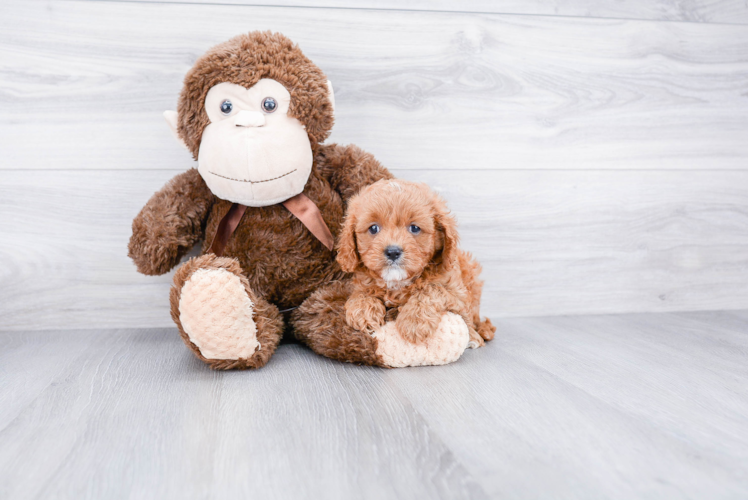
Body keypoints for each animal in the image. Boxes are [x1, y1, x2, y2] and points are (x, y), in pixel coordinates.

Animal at [338, 179, 496, 348]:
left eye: (414, 228)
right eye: (373, 228)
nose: (393, 252)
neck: (397, 283)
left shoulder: (458, 296)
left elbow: (431, 289)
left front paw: (414, 322)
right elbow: (361, 292)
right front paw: (363, 309)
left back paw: (478, 334)